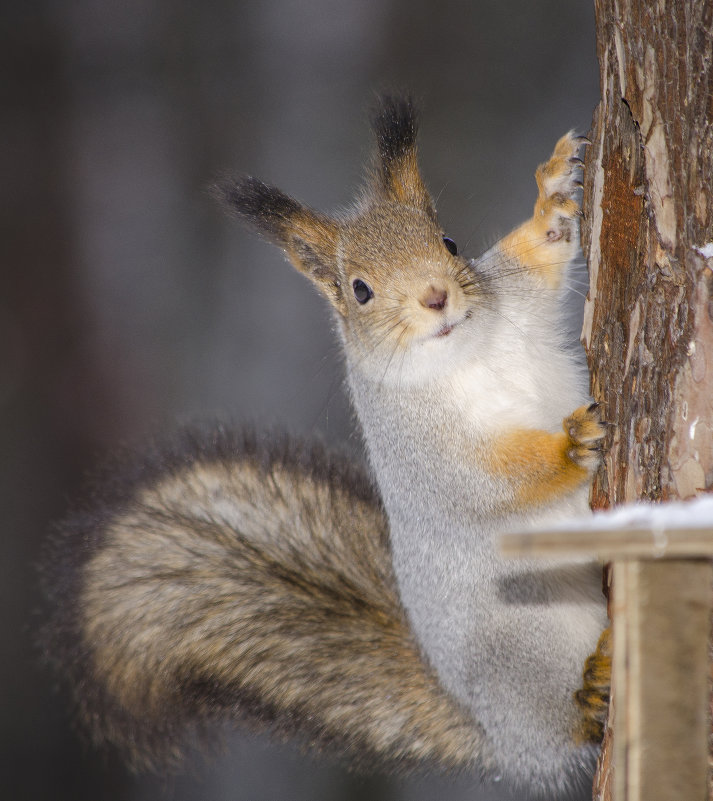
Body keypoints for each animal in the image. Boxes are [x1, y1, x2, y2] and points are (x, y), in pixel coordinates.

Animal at [41, 94, 612, 792]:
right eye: (360, 290)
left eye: (449, 243)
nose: (437, 297)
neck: (465, 354)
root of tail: (499, 737)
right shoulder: (419, 449)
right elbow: (486, 481)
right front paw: (570, 445)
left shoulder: (513, 302)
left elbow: (539, 255)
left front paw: (556, 192)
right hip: (522, 643)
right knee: (565, 721)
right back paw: (589, 693)